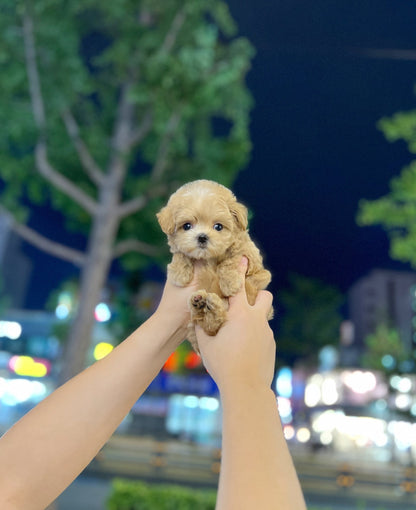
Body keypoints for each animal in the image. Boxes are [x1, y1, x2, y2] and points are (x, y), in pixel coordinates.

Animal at [157, 179, 272, 350]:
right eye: (187, 226)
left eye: (218, 226)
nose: (202, 237)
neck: (208, 258)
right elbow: (181, 253)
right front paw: (179, 273)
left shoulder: (253, 263)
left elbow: (232, 259)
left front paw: (230, 282)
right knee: (207, 324)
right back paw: (199, 304)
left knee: (216, 322)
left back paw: (211, 305)